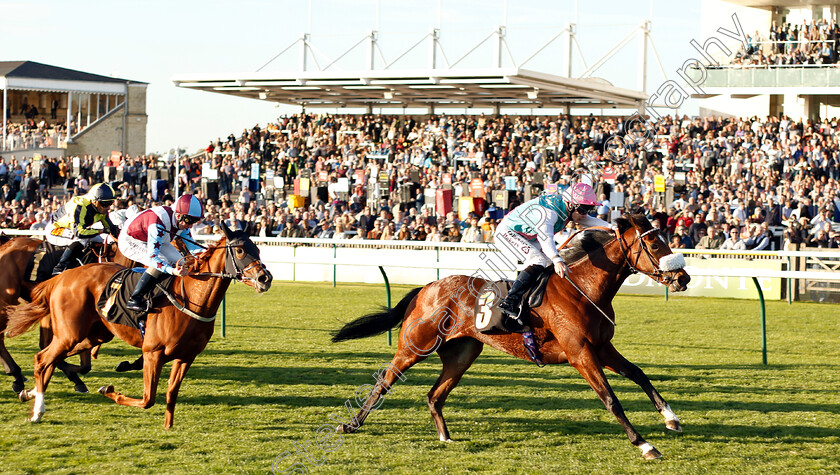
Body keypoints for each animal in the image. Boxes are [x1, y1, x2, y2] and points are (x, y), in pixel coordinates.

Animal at [332, 216, 692, 462]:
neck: (584, 289)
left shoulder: (602, 347)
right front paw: (645, 444)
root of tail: (427, 287)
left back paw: (445, 438)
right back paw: (350, 425)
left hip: (462, 354)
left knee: (434, 396)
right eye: (655, 244)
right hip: (415, 346)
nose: (683, 278)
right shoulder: (580, 353)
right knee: (385, 380)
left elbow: (639, 374)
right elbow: (610, 399)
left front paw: (671, 418)